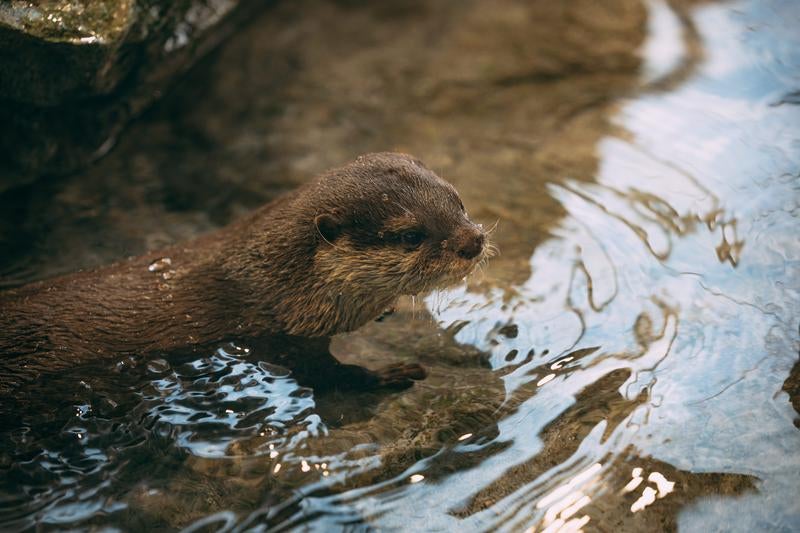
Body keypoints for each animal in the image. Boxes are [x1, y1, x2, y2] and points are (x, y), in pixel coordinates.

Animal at [0, 154, 488, 394]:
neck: (278, 285)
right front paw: (389, 374)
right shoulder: (280, 336)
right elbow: (328, 376)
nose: (474, 241)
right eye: (411, 236)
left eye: (458, 201)